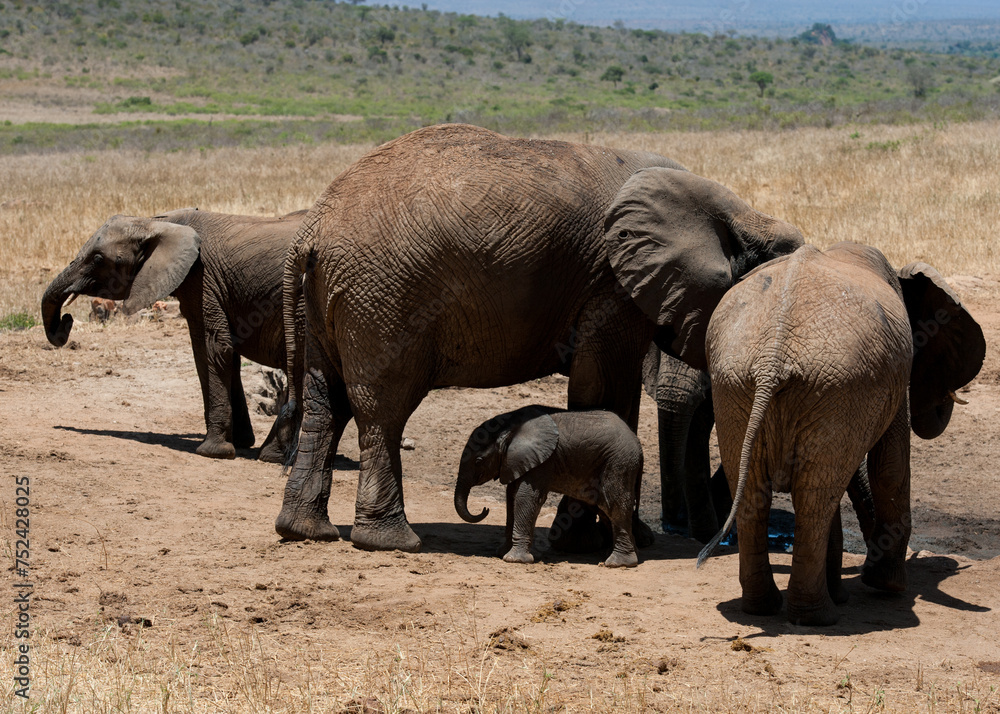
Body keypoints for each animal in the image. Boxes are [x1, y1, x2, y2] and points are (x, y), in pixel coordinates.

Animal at [41, 207, 308, 462]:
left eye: (98, 259)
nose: (66, 321)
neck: (157, 223)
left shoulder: (202, 278)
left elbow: (213, 347)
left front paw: (213, 452)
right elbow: (227, 353)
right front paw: (241, 442)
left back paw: (271, 456)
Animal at [454, 405, 643, 567]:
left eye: (478, 461)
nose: (485, 509)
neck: (511, 425)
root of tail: (637, 442)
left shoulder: (542, 461)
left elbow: (525, 498)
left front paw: (515, 560)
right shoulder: (518, 460)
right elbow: (511, 496)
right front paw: (502, 553)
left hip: (618, 463)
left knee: (614, 505)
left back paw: (618, 563)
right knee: (605, 509)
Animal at [697, 242, 985, 626]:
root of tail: (773, 357)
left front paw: (849, 591)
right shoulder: (893, 376)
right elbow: (890, 465)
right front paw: (888, 587)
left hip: (740, 385)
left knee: (761, 489)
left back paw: (766, 608)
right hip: (831, 383)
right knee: (815, 496)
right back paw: (817, 617)